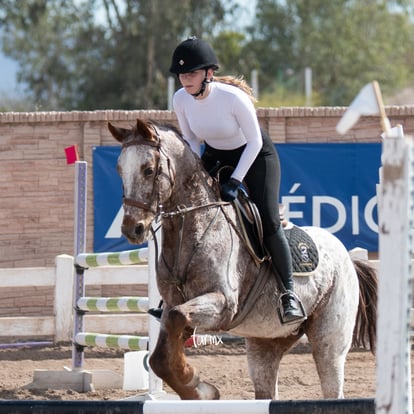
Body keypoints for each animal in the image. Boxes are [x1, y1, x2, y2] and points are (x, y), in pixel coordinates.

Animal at [107, 118, 378, 400]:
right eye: (119, 169)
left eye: (148, 170)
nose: (132, 229)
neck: (192, 227)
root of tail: (347, 256)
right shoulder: (173, 304)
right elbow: (160, 356)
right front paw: (197, 388)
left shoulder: (223, 305)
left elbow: (177, 319)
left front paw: (200, 389)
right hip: (267, 340)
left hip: (329, 339)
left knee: (331, 381)